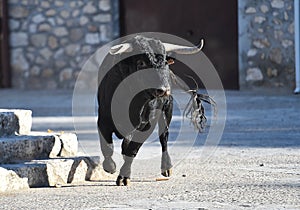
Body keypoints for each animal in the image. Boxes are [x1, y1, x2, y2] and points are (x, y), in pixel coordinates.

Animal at [97, 35, 210, 186]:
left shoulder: (147, 125)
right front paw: (110, 167)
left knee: (164, 138)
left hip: (166, 112)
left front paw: (124, 176)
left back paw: (167, 168)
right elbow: (107, 147)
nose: (164, 90)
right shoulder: (103, 120)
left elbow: (132, 150)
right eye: (141, 63)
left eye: (165, 62)